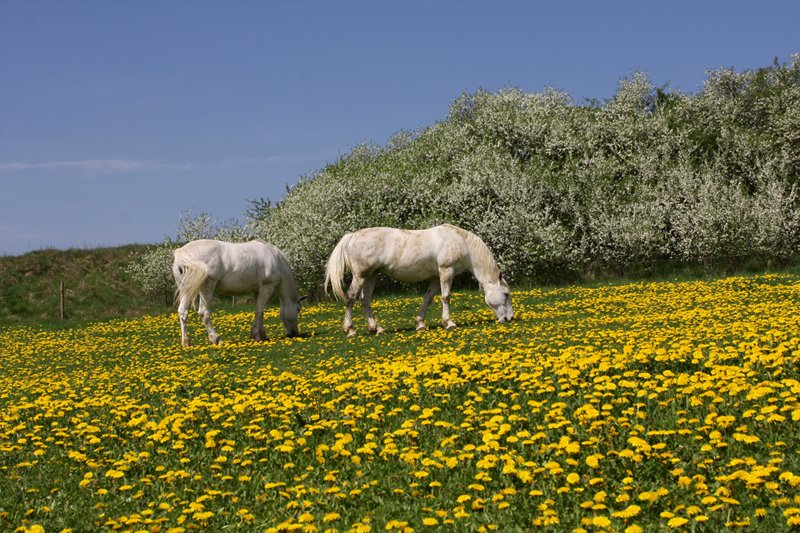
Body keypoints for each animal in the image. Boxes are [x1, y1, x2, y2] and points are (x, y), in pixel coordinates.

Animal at [172, 239, 304, 348]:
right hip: (206, 289)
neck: (276, 259)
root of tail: (181, 253)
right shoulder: (267, 288)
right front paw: (256, 335)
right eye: (298, 310)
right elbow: (258, 311)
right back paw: (216, 339)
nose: (293, 333)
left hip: (186, 289)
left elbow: (260, 312)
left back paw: (186, 342)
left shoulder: (256, 291)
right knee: (204, 312)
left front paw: (262, 335)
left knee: (182, 312)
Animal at [324, 225, 512, 336]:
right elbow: (446, 297)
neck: (461, 242)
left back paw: (376, 328)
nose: (510, 318)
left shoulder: (436, 277)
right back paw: (350, 329)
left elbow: (428, 298)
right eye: (506, 294)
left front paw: (420, 324)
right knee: (350, 298)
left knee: (365, 300)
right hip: (361, 276)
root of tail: (352, 236)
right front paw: (449, 322)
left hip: (371, 276)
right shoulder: (446, 271)